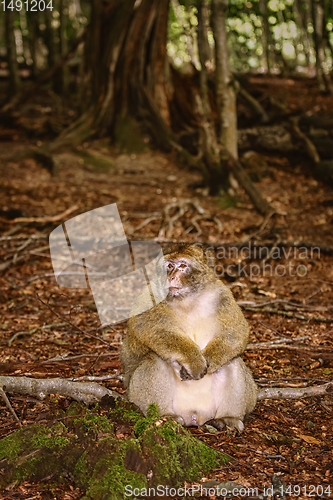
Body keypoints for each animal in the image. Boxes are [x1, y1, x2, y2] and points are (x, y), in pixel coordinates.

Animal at [122, 244, 256, 432]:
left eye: (183, 266)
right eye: (169, 266)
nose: (170, 277)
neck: (187, 299)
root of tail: (194, 417)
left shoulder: (222, 294)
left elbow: (236, 332)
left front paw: (208, 360)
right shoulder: (149, 295)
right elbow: (150, 328)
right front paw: (194, 361)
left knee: (232, 361)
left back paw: (228, 418)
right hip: (136, 397)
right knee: (155, 359)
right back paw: (165, 416)